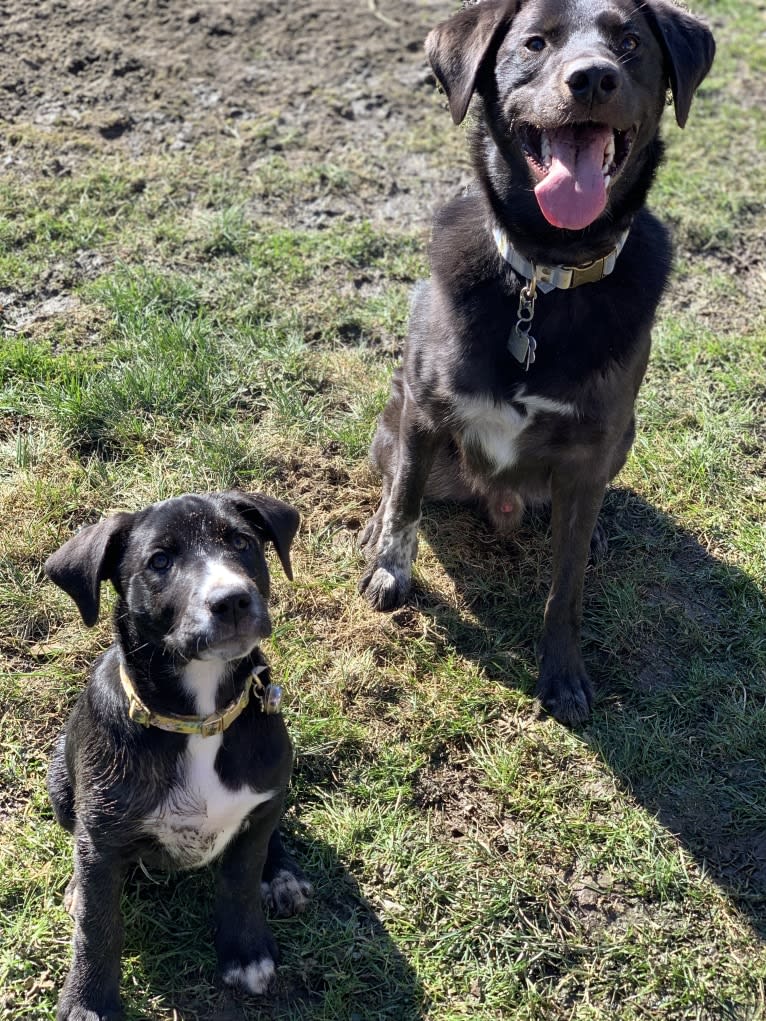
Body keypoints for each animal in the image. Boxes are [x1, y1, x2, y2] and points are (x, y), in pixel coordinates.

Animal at [45, 490, 312, 1021]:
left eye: (242, 542)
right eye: (160, 562)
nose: (231, 600)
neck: (199, 719)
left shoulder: (259, 804)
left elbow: (241, 880)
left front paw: (245, 952)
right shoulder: (101, 831)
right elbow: (98, 925)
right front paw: (88, 1001)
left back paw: (282, 874)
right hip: (61, 784)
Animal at [363, 0, 719, 726]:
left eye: (630, 43)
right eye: (534, 43)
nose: (593, 79)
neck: (546, 277)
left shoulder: (590, 451)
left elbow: (567, 587)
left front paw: (563, 676)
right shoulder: (424, 411)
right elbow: (406, 506)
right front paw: (390, 571)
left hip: (622, 438)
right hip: (396, 420)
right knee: (395, 483)